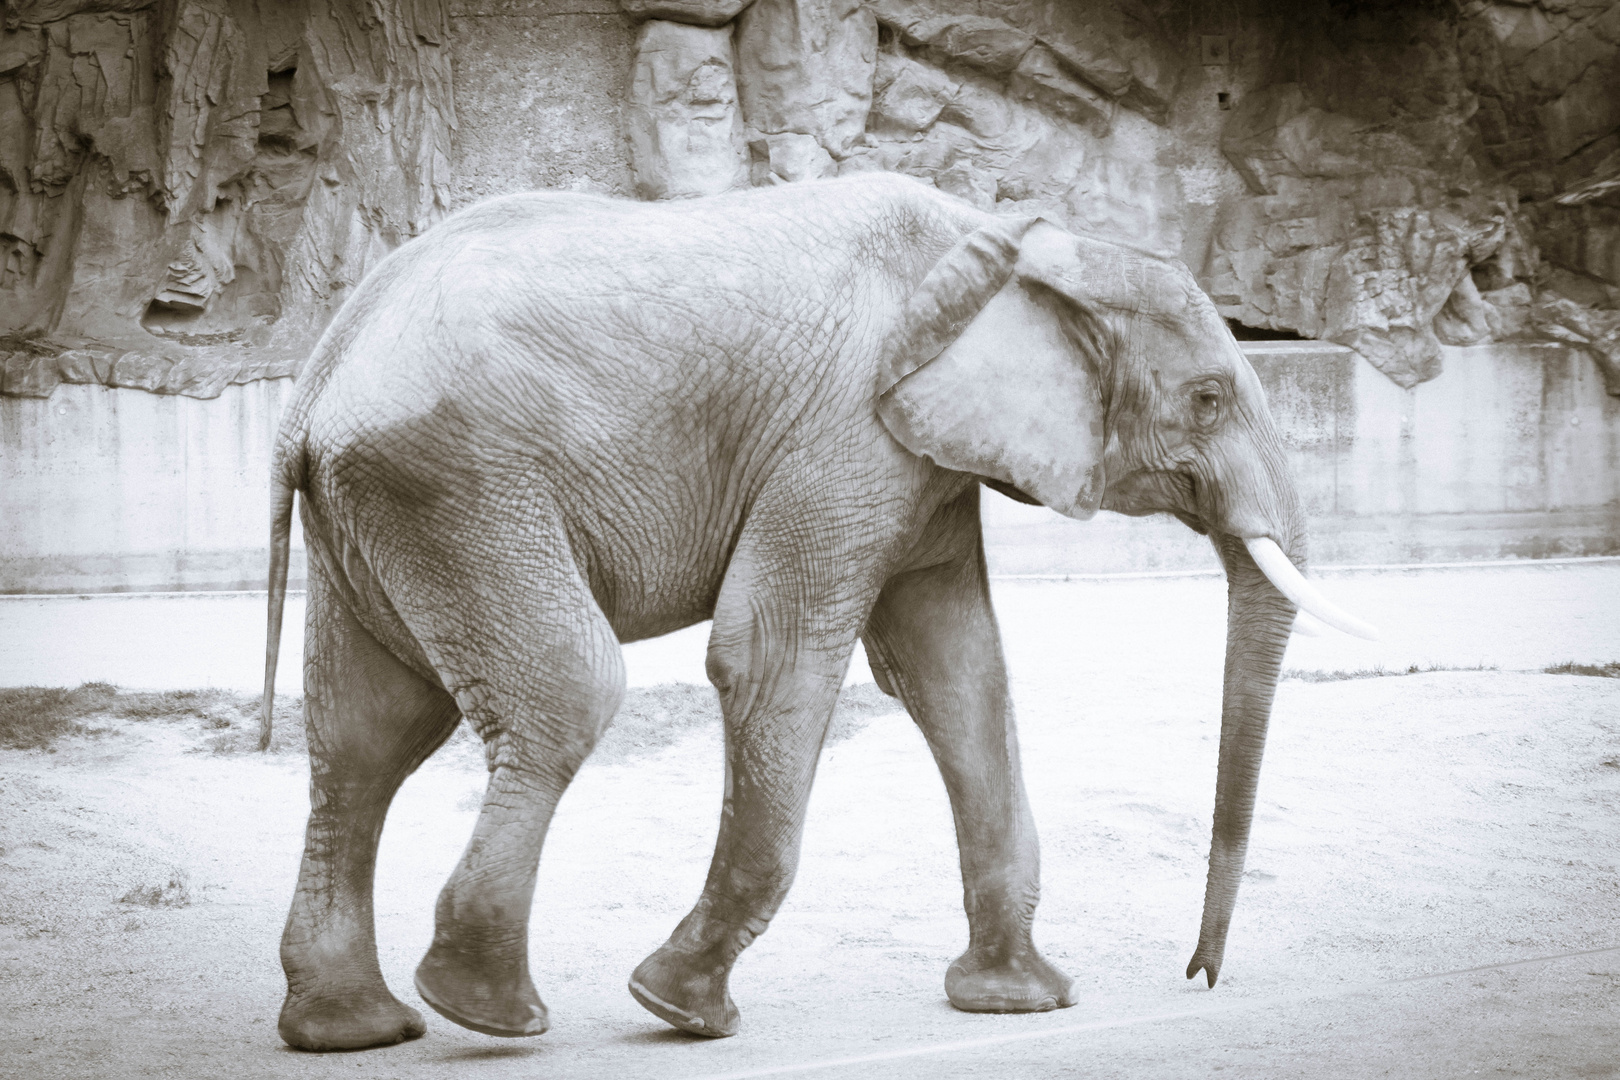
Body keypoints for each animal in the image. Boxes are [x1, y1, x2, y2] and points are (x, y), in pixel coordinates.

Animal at [259, 173, 1373, 1049]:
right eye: (1208, 399)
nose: (1198, 976)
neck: (1008, 240)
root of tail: (314, 381)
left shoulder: (918, 460)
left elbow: (957, 670)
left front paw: (1019, 1002)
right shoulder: (845, 437)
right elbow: (770, 653)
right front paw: (681, 1009)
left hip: (385, 511)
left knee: (366, 737)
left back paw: (355, 1030)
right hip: (457, 487)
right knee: (566, 692)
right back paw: (487, 1012)